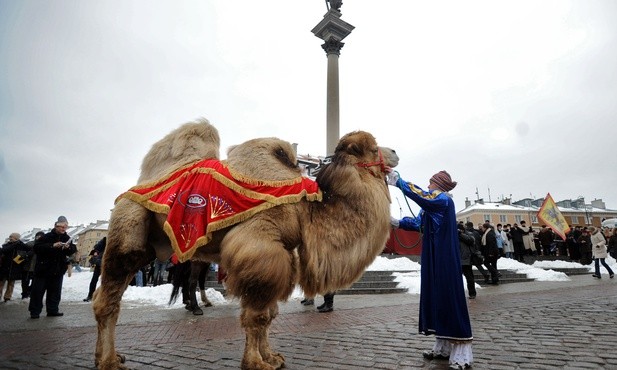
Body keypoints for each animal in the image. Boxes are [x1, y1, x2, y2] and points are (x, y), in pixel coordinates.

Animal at [92, 119, 400, 370]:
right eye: (373, 149)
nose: (395, 152)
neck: (307, 208)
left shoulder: (283, 253)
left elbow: (270, 313)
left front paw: (272, 357)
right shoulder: (261, 246)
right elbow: (258, 315)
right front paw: (255, 362)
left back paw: (105, 357)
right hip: (129, 230)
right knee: (108, 299)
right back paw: (109, 361)